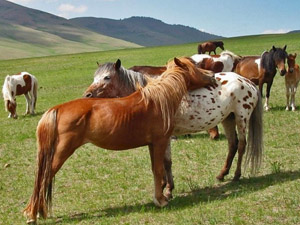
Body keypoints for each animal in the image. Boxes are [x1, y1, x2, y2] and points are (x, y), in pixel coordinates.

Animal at [22, 56, 216, 223]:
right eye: (195, 68)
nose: (212, 75)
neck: (158, 100)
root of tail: (57, 109)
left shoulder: (152, 145)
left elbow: (157, 169)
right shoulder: (160, 142)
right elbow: (159, 169)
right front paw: (161, 200)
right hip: (62, 152)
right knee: (44, 177)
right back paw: (32, 214)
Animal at [83, 59, 264, 199]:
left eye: (107, 77)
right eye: (94, 77)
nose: (87, 95)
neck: (152, 98)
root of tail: (247, 81)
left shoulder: (165, 137)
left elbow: (166, 162)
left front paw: (168, 189)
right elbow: (161, 162)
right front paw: (164, 185)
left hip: (241, 118)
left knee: (241, 145)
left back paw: (236, 175)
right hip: (228, 118)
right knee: (232, 145)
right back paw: (222, 174)